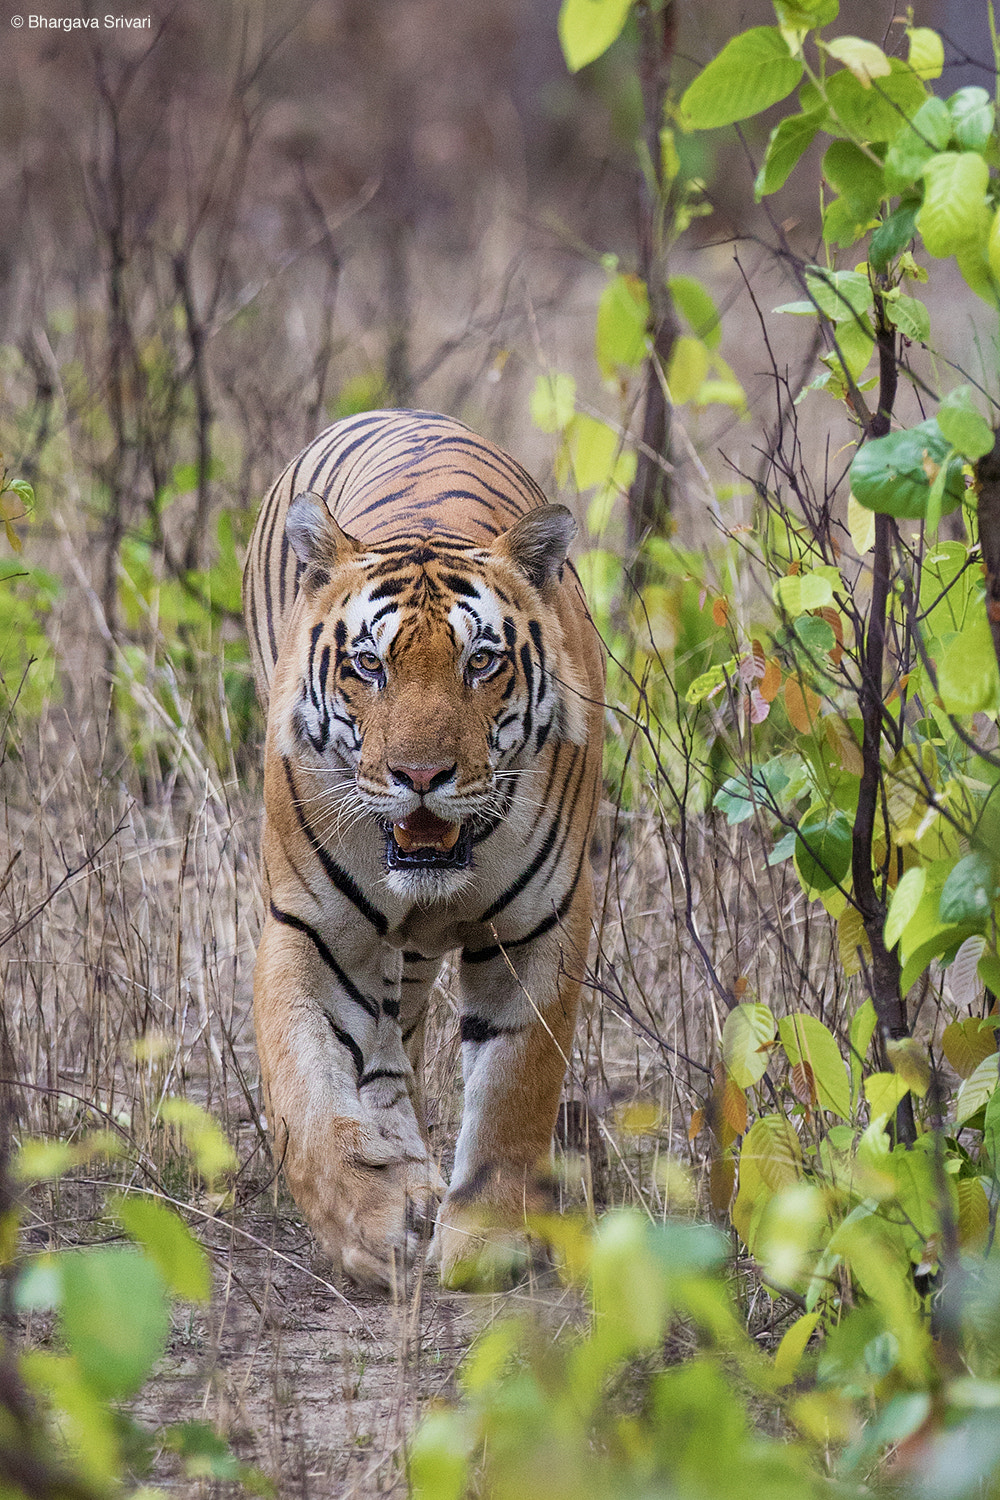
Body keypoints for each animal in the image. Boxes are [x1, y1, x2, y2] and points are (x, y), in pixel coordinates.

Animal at [244, 411, 602, 1290]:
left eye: (482, 662)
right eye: (368, 664)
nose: (420, 776)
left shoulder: (540, 928)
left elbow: (514, 1089)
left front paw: (484, 1242)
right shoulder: (310, 929)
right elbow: (306, 1097)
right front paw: (367, 1229)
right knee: (378, 1052)